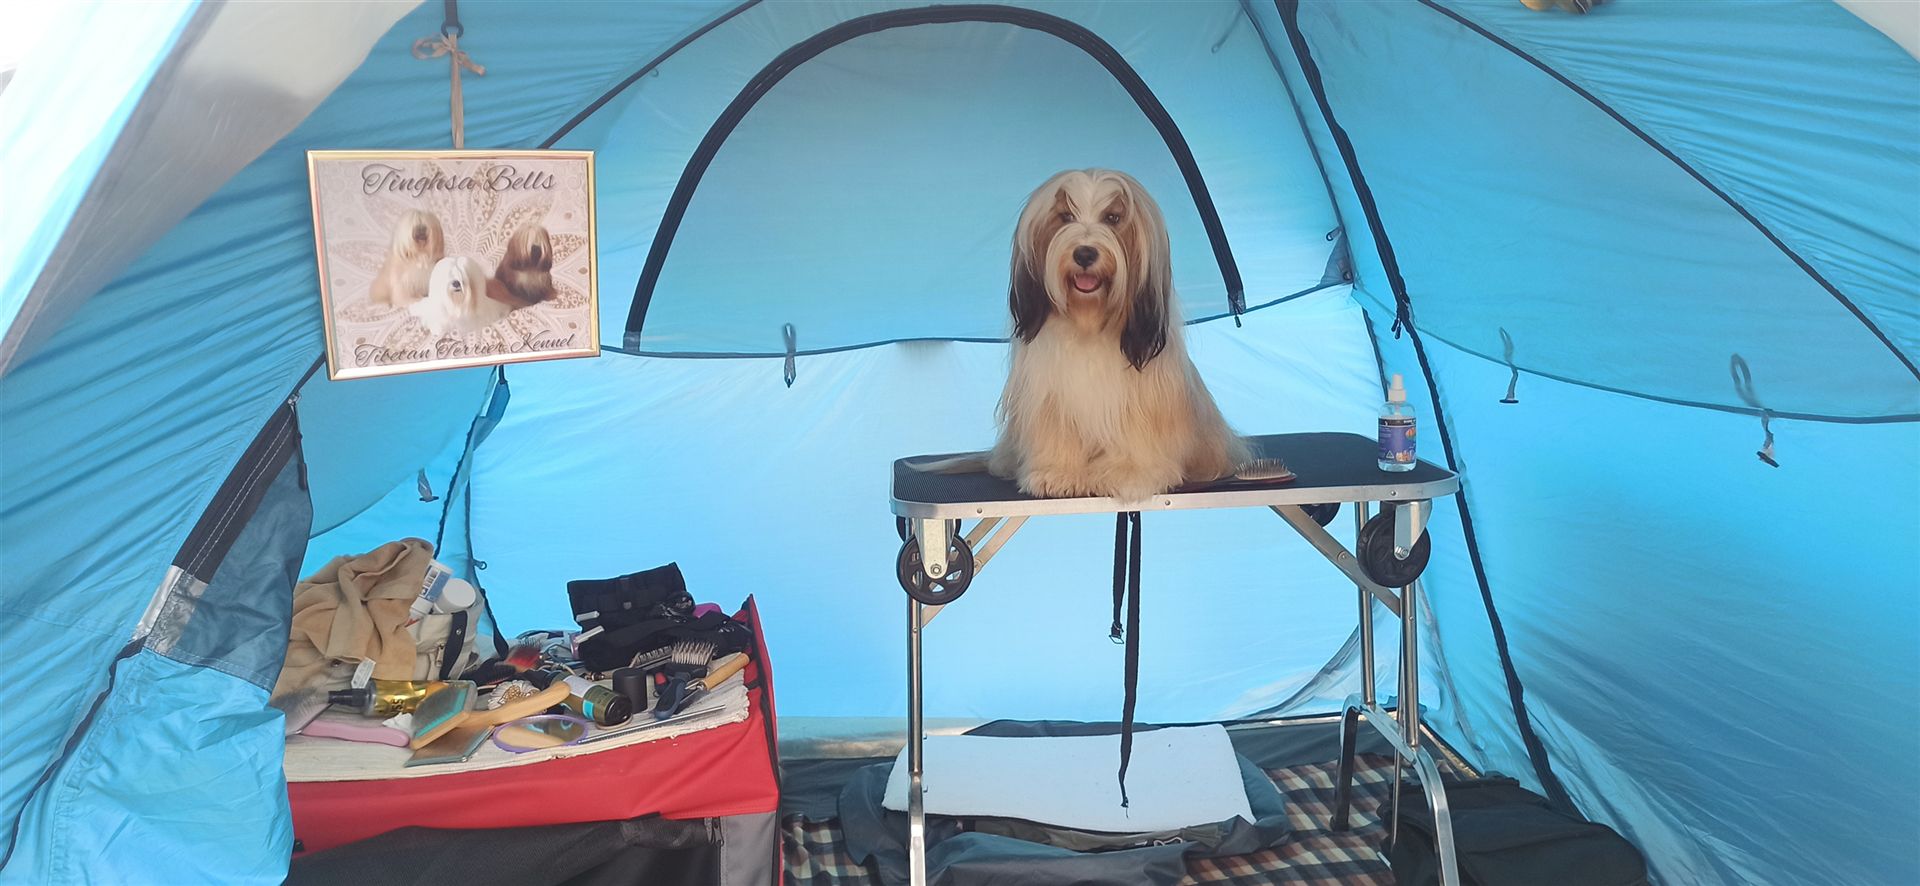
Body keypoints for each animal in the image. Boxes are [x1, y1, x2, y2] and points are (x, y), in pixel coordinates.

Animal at [919, 169, 1249, 502]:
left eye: (1113, 217)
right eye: (1065, 216)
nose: (1085, 253)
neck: (1089, 323)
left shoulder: (1143, 400)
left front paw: (1130, 472)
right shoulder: (1050, 394)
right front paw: (1057, 473)